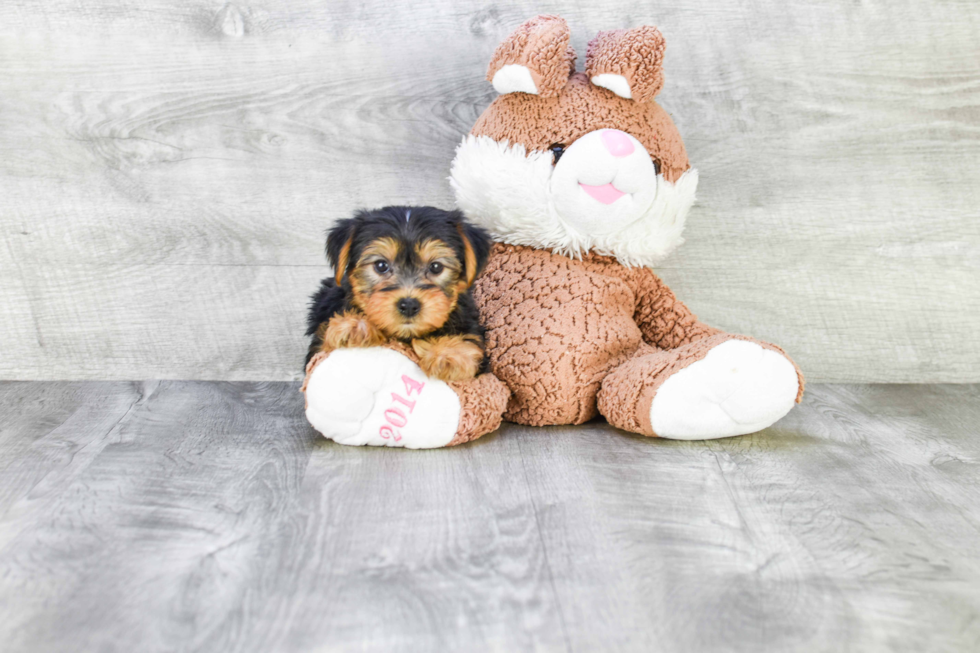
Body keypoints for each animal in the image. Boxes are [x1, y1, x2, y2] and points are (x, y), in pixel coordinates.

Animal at [304, 206, 490, 382]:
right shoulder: (317, 346)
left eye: (436, 267)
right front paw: (355, 325)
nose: (408, 305)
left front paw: (450, 353)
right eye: (381, 265)